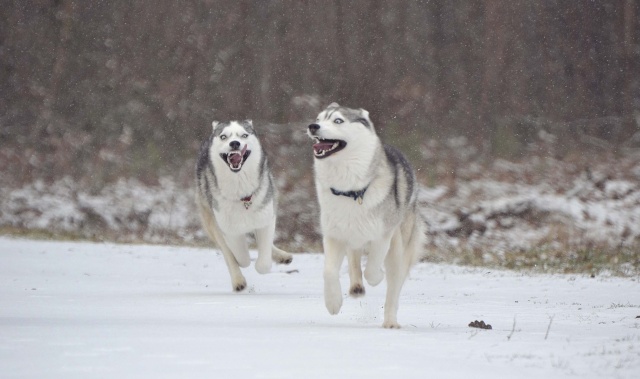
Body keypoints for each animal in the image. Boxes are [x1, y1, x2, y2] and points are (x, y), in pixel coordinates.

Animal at [196, 120, 294, 292]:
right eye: (224, 136)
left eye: (244, 135)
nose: (235, 143)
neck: (242, 195)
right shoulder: (228, 229)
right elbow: (240, 256)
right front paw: (243, 261)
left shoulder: (266, 218)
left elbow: (264, 259)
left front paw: (265, 262)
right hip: (212, 223)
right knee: (228, 254)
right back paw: (238, 281)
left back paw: (282, 256)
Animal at [308, 104, 424, 330]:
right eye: (318, 118)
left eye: (338, 121)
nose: (312, 126)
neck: (350, 191)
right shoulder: (334, 235)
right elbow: (329, 271)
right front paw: (333, 303)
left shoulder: (383, 236)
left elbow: (372, 270)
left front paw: (377, 278)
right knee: (354, 259)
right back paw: (356, 287)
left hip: (399, 248)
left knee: (393, 289)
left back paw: (390, 322)